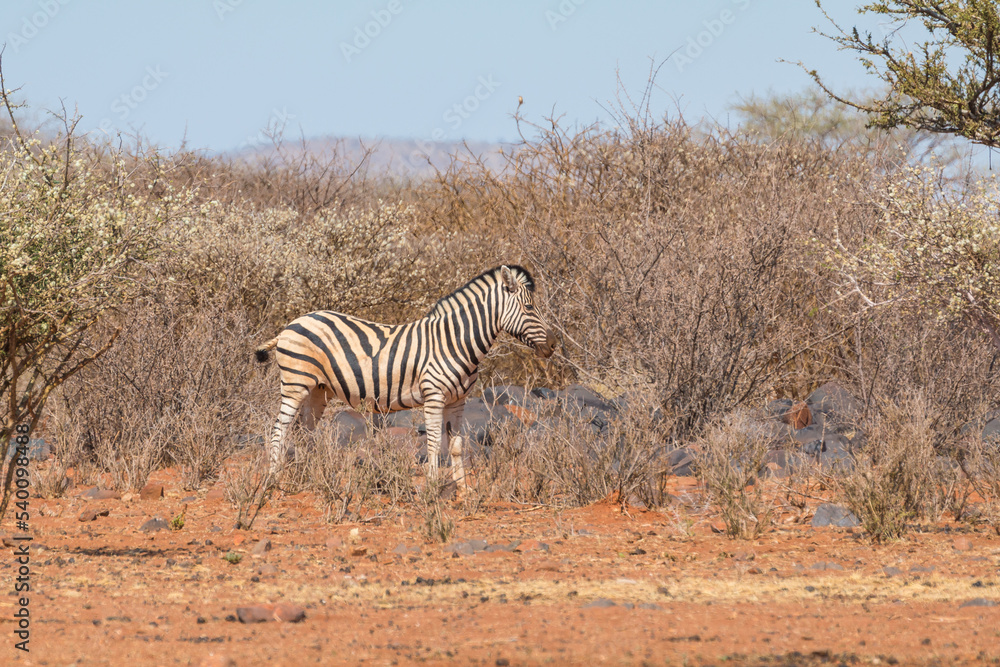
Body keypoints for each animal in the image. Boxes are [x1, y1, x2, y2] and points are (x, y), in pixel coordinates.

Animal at [254, 265, 556, 484]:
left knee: (304, 432)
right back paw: (274, 479)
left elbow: (456, 446)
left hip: (317, 391)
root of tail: (292, 323)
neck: (455, 341)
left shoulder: (458, 401)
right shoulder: (434, 396)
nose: (553, 345)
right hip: (295, 384)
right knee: (279, 429)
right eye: (530, 308)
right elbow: (433, 443)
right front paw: (433, 488)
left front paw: (463, 491)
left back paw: (307, 476)